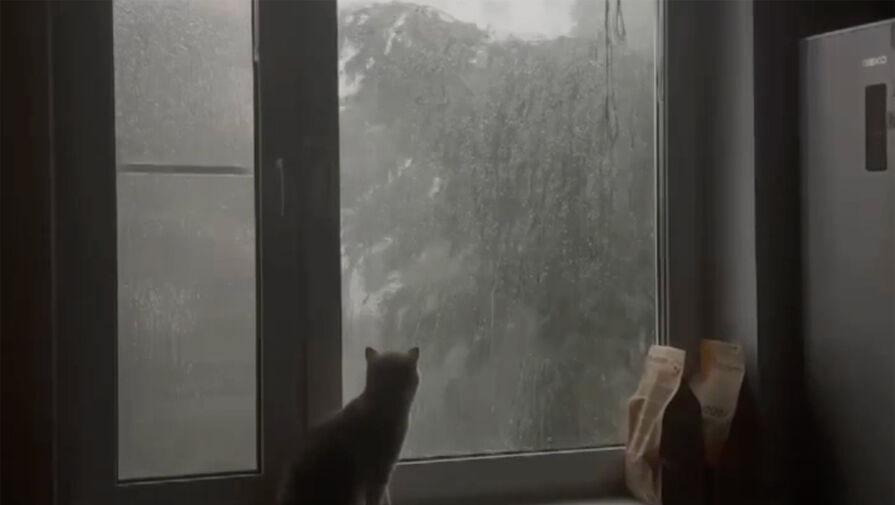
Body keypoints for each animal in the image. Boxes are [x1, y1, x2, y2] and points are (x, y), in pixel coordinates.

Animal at [277, 347, 420, 505]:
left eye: (402, 373)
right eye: (384, 374)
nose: (394, 385)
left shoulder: (383, 472)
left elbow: (385, 498)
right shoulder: (379, 472)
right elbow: (377, 499)